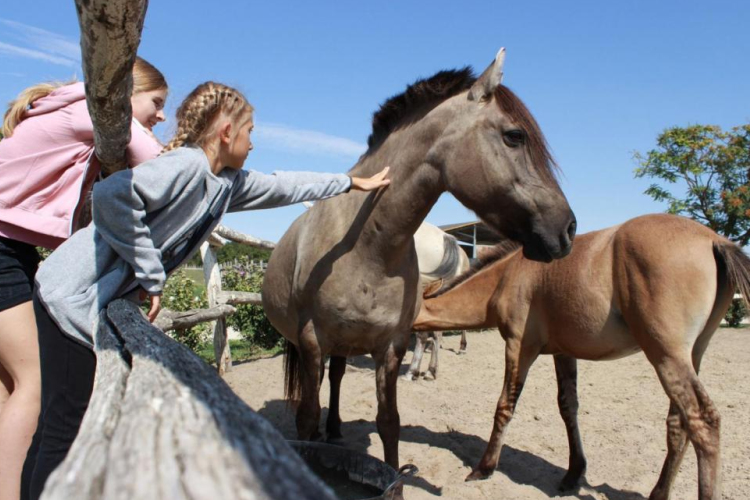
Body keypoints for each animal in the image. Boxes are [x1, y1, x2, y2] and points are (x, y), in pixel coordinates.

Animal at [262, 48, 580, 466]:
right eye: (515, 136)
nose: (568, 229)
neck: (367, 249)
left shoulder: (391, 346)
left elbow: (389, 422)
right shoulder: (313, 342)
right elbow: (306, 417)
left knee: (339, 376)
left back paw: (336, 430)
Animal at [414, 214, 748, 500]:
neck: (509, 274)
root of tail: (713, 240)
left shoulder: (519, 347)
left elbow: (505, 405)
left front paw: (484, 468)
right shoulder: (563, 353)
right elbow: (568, 407)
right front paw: (574, 473)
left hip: (666, 356)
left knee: (704, 422)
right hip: (691, 356)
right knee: (679, 423)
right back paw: (658, 493)